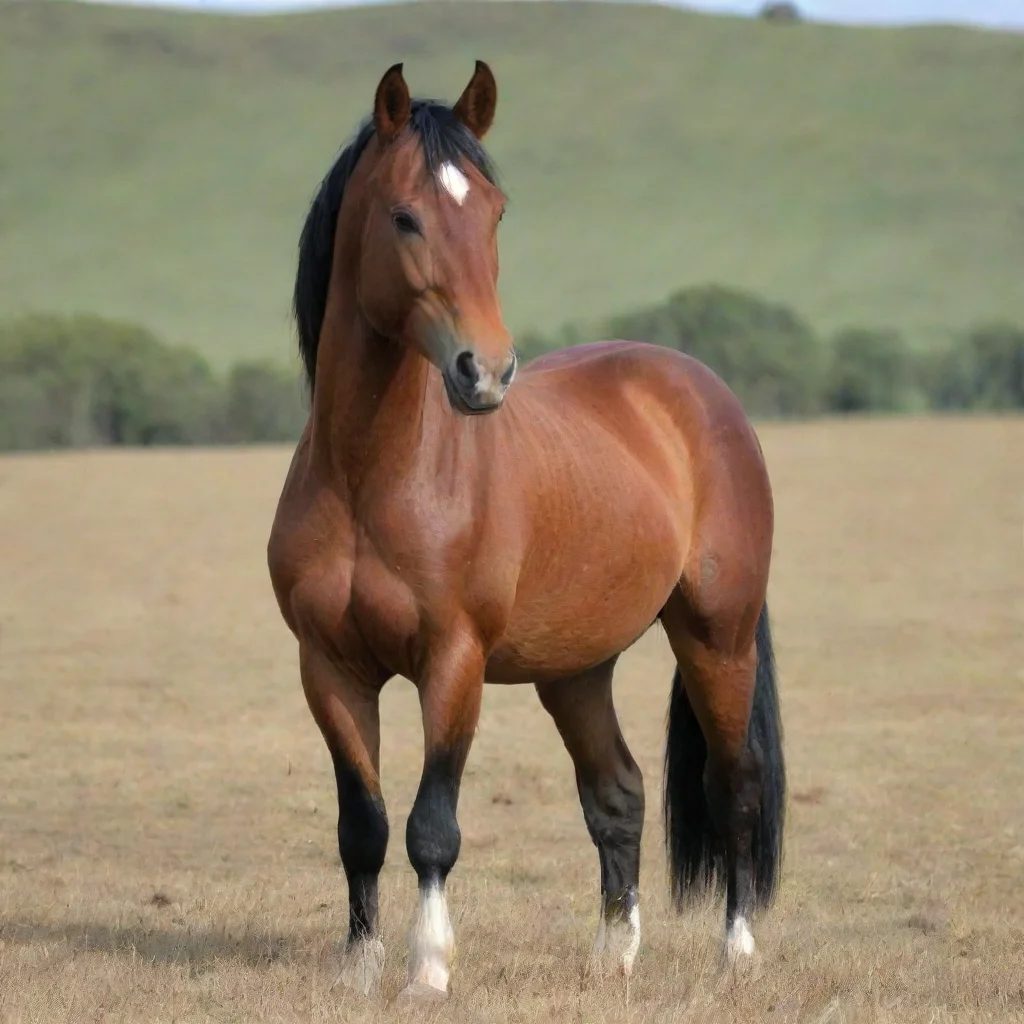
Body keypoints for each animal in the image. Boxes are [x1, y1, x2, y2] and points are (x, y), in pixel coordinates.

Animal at [267, 60, 786, 1001]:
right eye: (404, 215)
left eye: (496, 211)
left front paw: (428, 970)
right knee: (617, 792)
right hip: (576, 669)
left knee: (735, 783)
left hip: (716, 636)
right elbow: (361, 823)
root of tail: (701, 390)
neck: (373, 477)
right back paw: (613, 956)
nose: (487, 371)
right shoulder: (328, 668)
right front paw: (358, 968)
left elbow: (431, 825)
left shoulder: (454, 663)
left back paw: (735, 954)